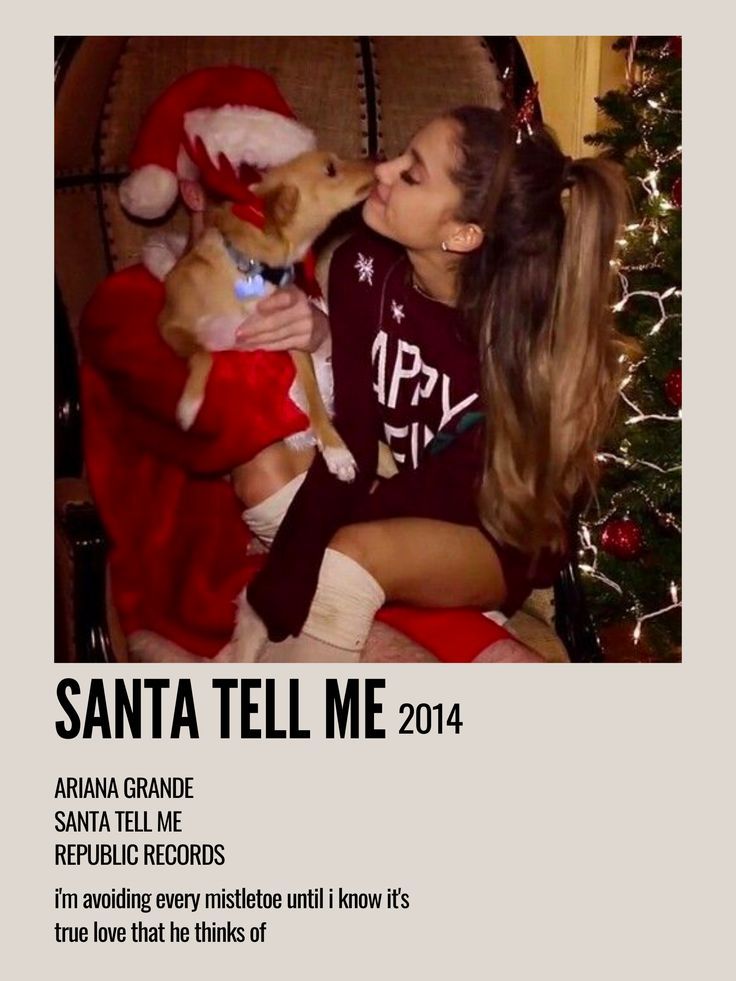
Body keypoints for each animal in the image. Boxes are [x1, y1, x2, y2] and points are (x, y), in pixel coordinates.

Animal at [159, 148, 376, 478]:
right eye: (330, 169)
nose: (378, 160)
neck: (253, 269)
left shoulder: (294, 339)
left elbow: (314, 397)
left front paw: (335, 448)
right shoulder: (168, 326)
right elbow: (203, 353)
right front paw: (188, 407)